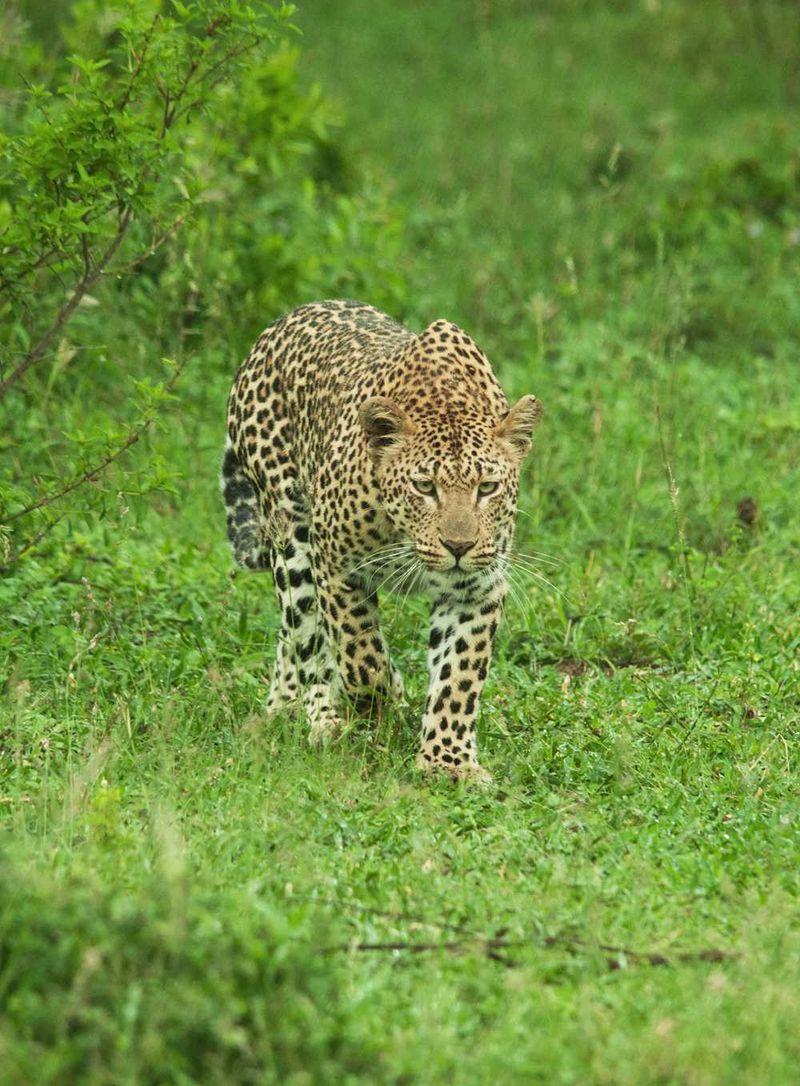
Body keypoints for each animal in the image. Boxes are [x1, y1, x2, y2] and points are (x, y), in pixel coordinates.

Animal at [222, 300, 542, 783]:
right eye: (425, 487)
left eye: (487, 488)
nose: (459, 547)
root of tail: (286, 319)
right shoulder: (335, 565)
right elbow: (359, 652)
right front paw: (384, 694)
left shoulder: (477, 589)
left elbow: (458, 677)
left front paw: (448, 763)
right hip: (291, 534)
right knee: (306, 635)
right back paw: (319, 718)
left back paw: (282, 708)